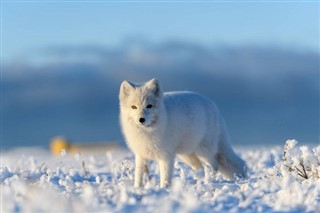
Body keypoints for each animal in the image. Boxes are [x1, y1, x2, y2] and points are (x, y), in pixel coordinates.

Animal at [120, 78, 248, 188]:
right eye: (133, 107)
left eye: (149, 106)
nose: (141, 119)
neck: (147, 131)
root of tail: (213, 106)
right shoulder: (141, 154)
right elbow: (139, 175)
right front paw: (137, 188)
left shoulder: (166, 155)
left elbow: (165, 177)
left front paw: (163, 189)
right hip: (187, 154)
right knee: (199, 168)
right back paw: (198, 182)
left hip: (203, 151)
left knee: (213, 166)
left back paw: (208, 181)